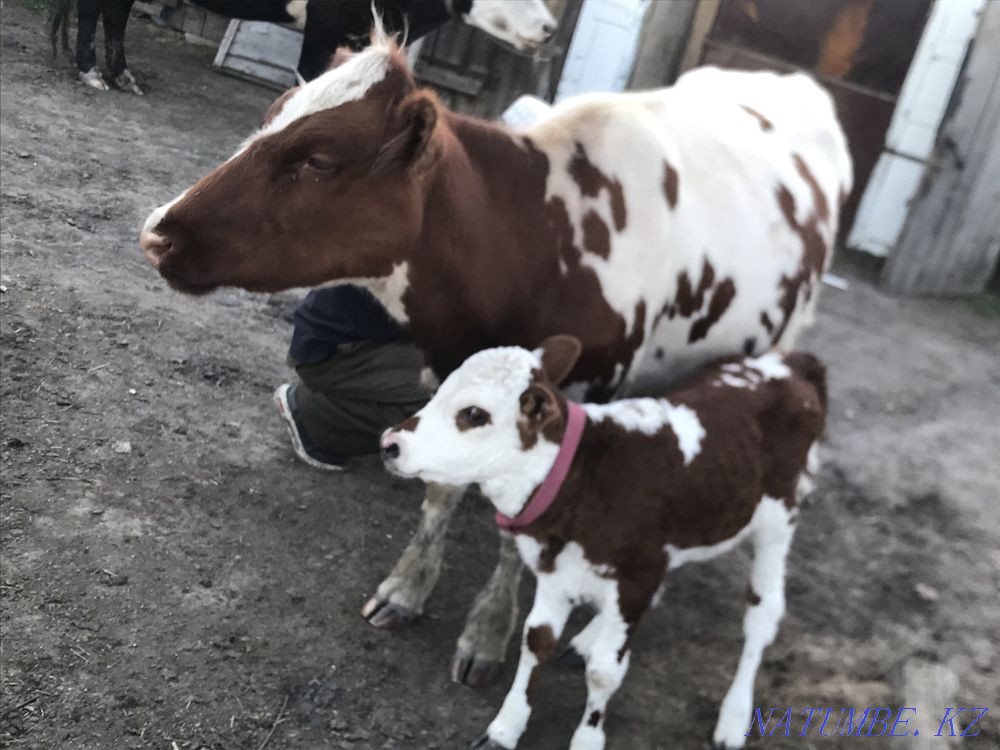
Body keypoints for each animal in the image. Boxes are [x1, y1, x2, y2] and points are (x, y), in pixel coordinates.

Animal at [138, 27, 852, 688]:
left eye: (318, 159)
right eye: (271, 115)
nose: (156, 232)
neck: (538, 240)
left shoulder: (572, 399)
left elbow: (524, 533)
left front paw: (488, 631)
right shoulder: (453, 375)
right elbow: (441, 491)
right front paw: (408, 589)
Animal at [380, 338, 827, 749]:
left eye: (475, 414)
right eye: (440, 389)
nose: (389, 443)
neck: (585, 478)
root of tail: (792, 364)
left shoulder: (635, 578)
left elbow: (603, 673)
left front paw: (587, 737)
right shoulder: (558, 573)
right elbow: (535, 643)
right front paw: (505, 729)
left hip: (778, 518)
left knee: (762, 614)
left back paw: (734, 717)